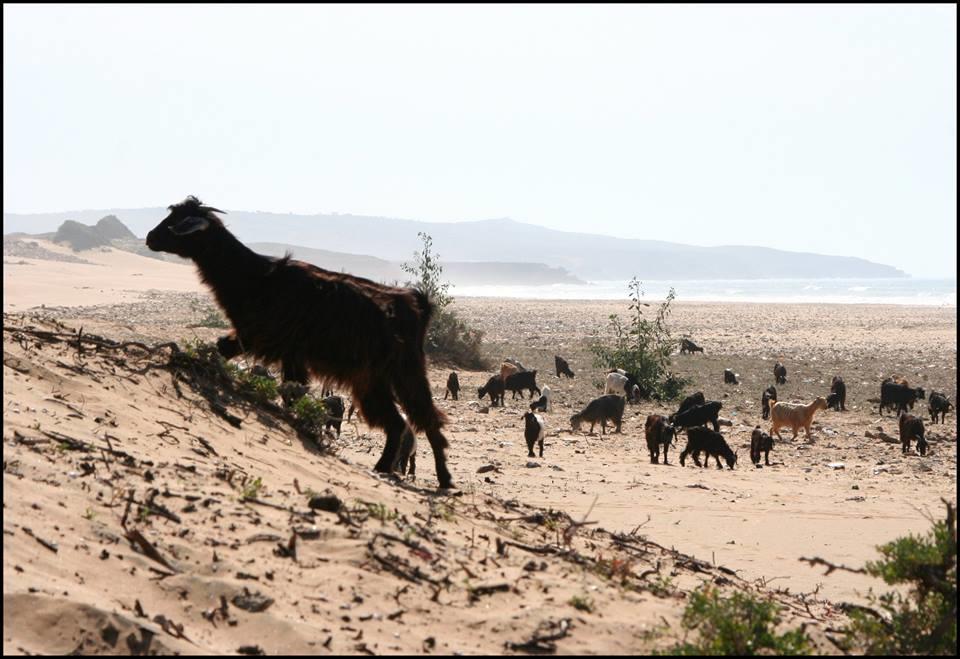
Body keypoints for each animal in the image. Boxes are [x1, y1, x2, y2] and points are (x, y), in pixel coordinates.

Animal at [146, 196, 454, 490]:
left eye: (179, 222)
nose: (150, 237)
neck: (255, 278)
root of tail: (416, 303)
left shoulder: (264, 339)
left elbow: (291, 392)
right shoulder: (270, 344)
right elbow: (248, 365)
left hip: (405, 370)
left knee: (426, 417)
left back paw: (444, 478)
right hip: (372, 379)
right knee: (397, 422)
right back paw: (384, 467)